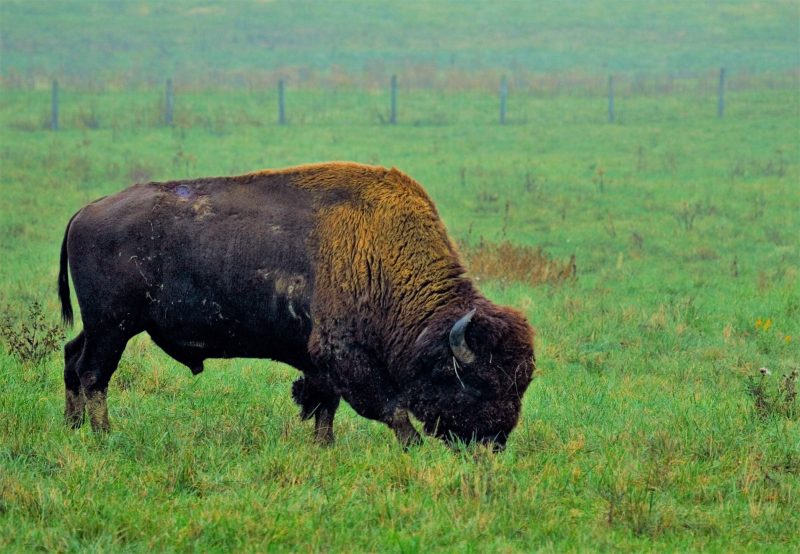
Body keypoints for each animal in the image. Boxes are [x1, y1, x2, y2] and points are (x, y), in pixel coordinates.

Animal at [58, 162, 535, 448]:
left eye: (521, 382)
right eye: (476, 382)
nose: (494, 441)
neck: (381, 252)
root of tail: (83, 212)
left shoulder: (321, 363)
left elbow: (325, 406)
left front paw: (324, 448)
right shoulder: (344, 357)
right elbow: (389, 408)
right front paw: (413, 448)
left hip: (101, 326)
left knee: (71, 358)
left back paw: (74, 427)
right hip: (113, 327)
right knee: (93, 373)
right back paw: (104, 434)